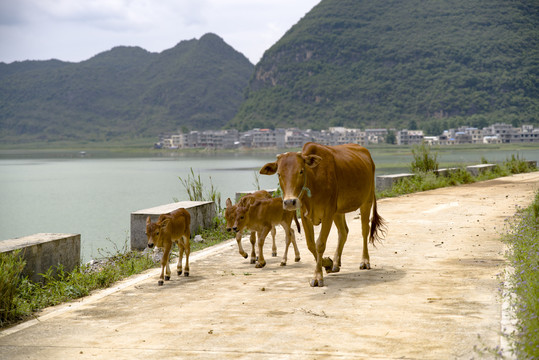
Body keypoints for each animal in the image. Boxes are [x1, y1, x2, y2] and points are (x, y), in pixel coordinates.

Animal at [260, 142, 384, 286]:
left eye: (301, 171)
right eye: (279, 174)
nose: (290, 202)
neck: (314, 179)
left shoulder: (328, 214)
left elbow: (320, 244)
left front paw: (318, 276)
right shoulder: (305, 216)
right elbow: (311, 244)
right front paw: (327, 263)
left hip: (366, 202)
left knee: (365, 230)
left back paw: (364, 261)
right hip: (338, 211)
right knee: (343, 232)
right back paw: (335, 263)